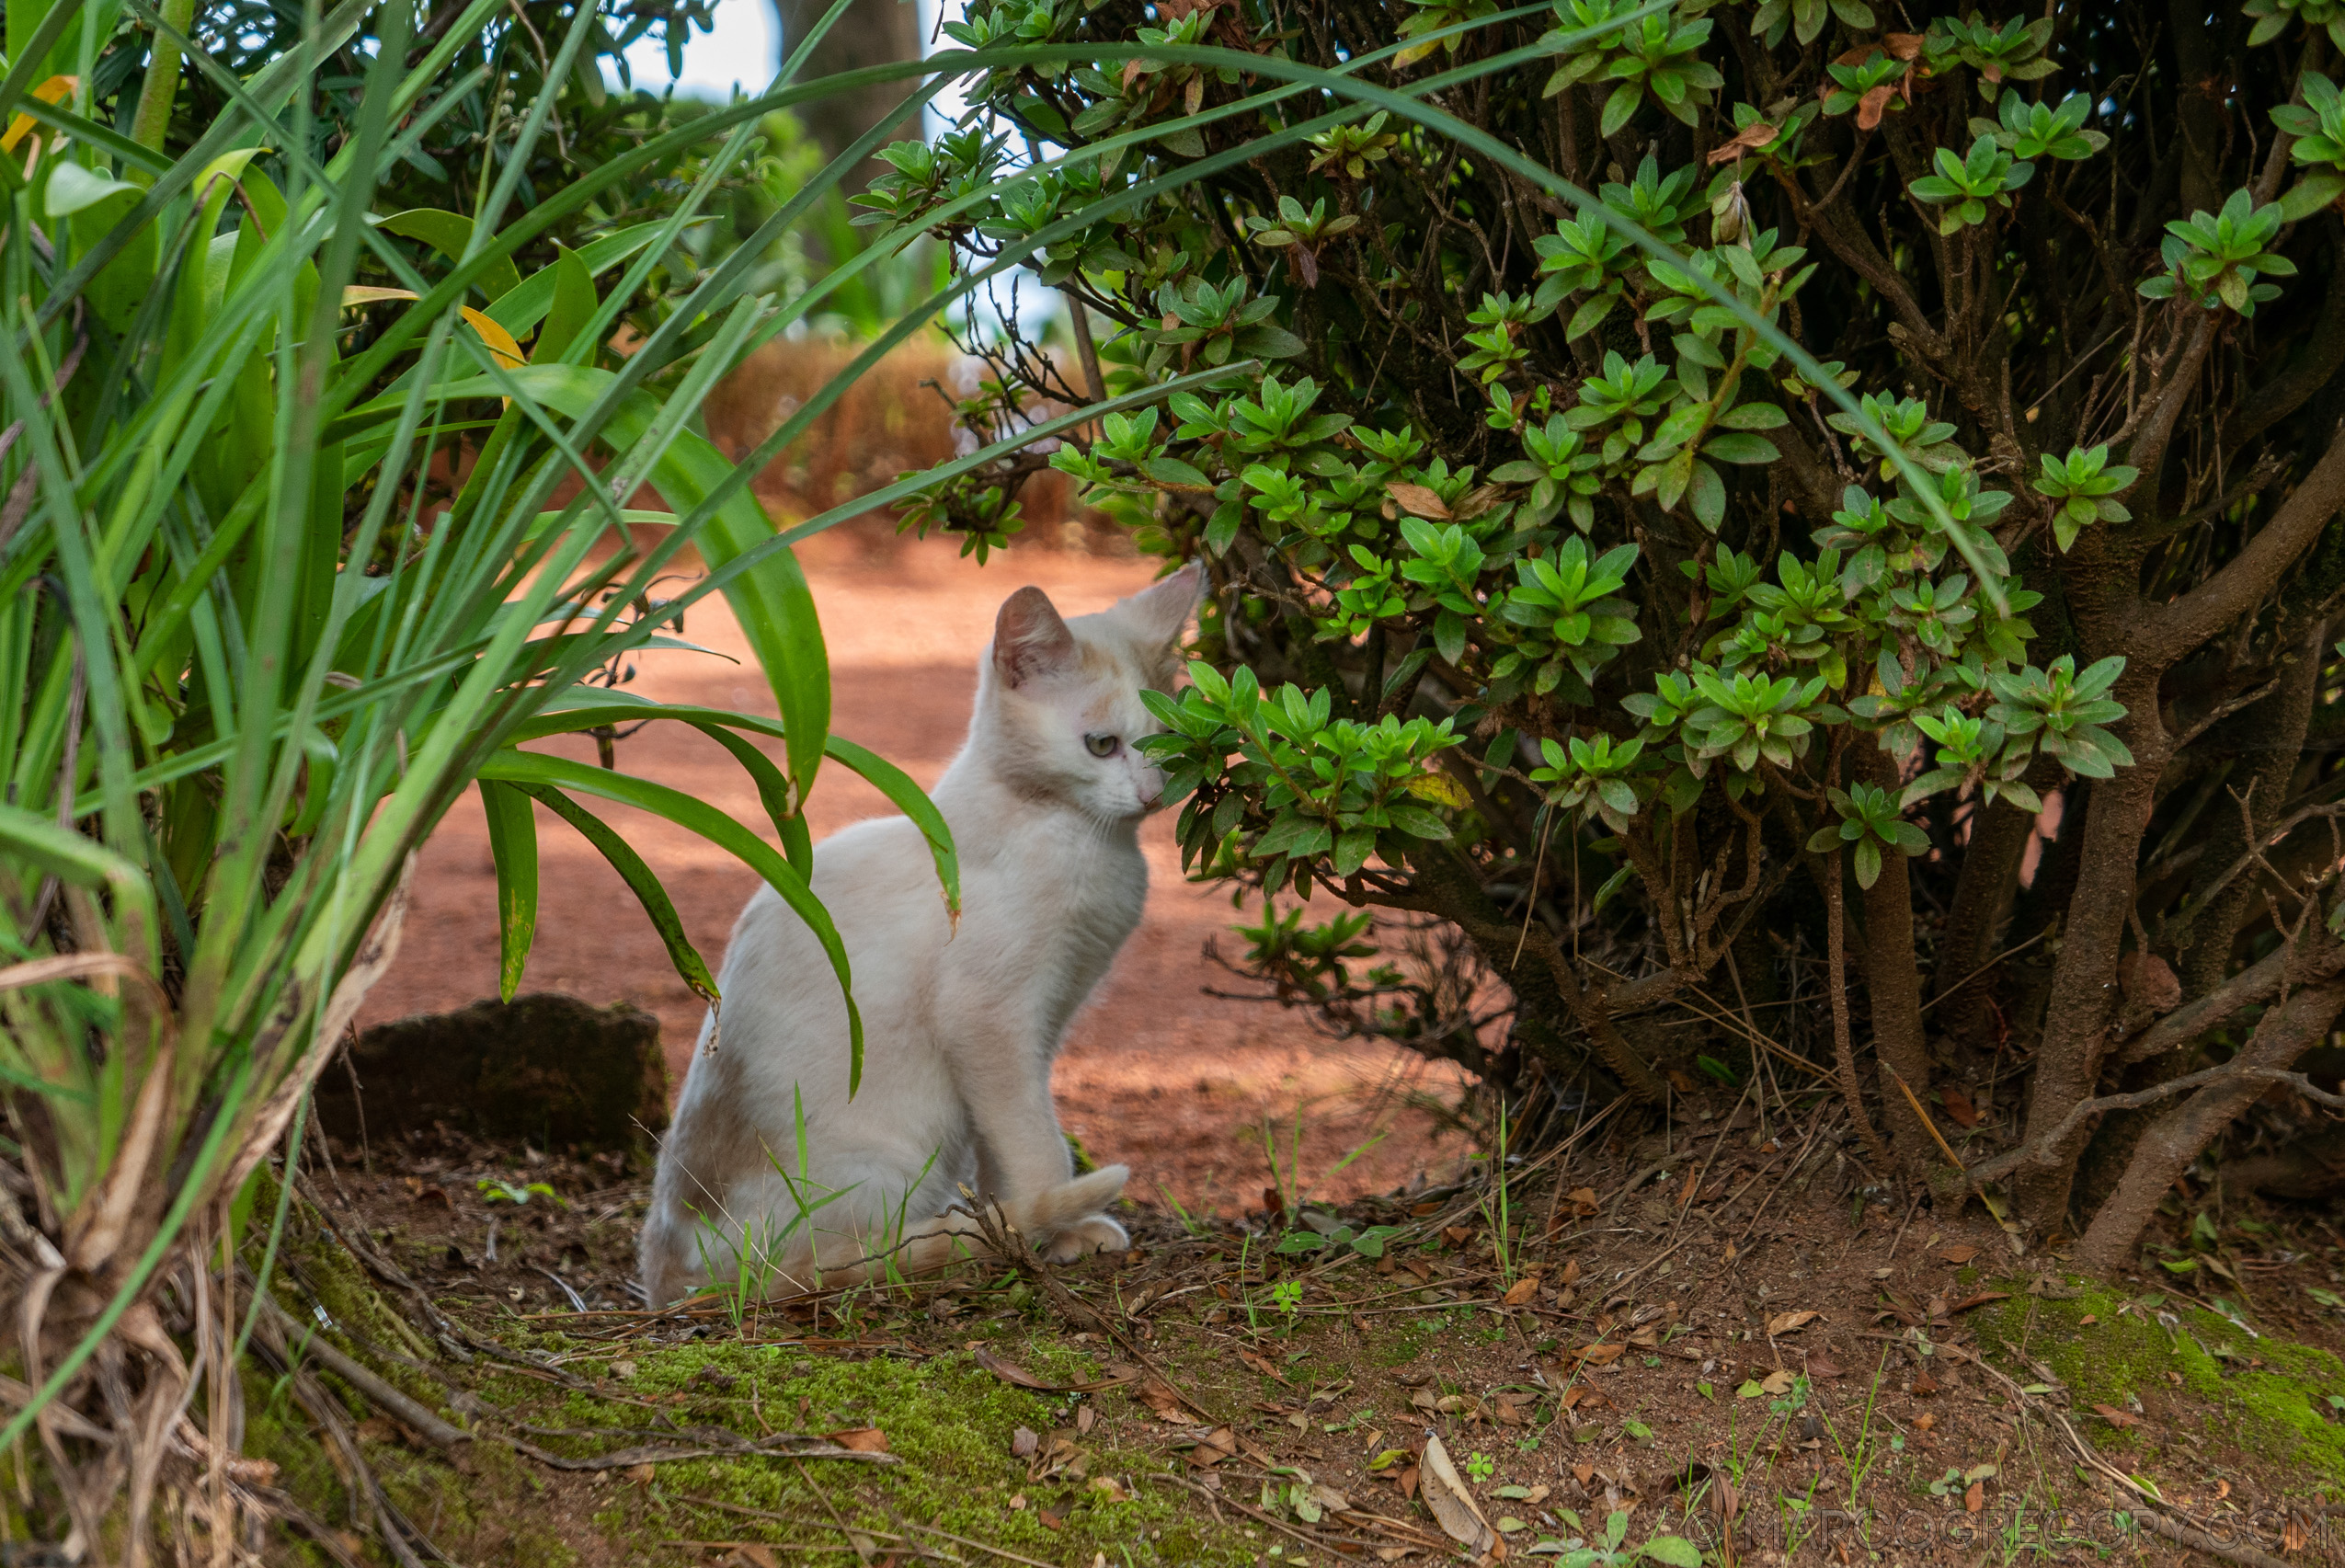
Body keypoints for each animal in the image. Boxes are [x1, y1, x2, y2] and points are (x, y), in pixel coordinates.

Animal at [637, 560, 1200, 1293]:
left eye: (1171, 744)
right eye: (1102, 744)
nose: (1153, 795)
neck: (1067, 834)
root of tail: (673, 1282)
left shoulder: (1041, 1025)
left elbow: (1003, 1143)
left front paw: (1046, 1232)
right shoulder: (986, 1018)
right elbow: (1037, 1143)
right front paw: (1047, 1220)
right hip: (884, 1167)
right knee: (827, 1262)